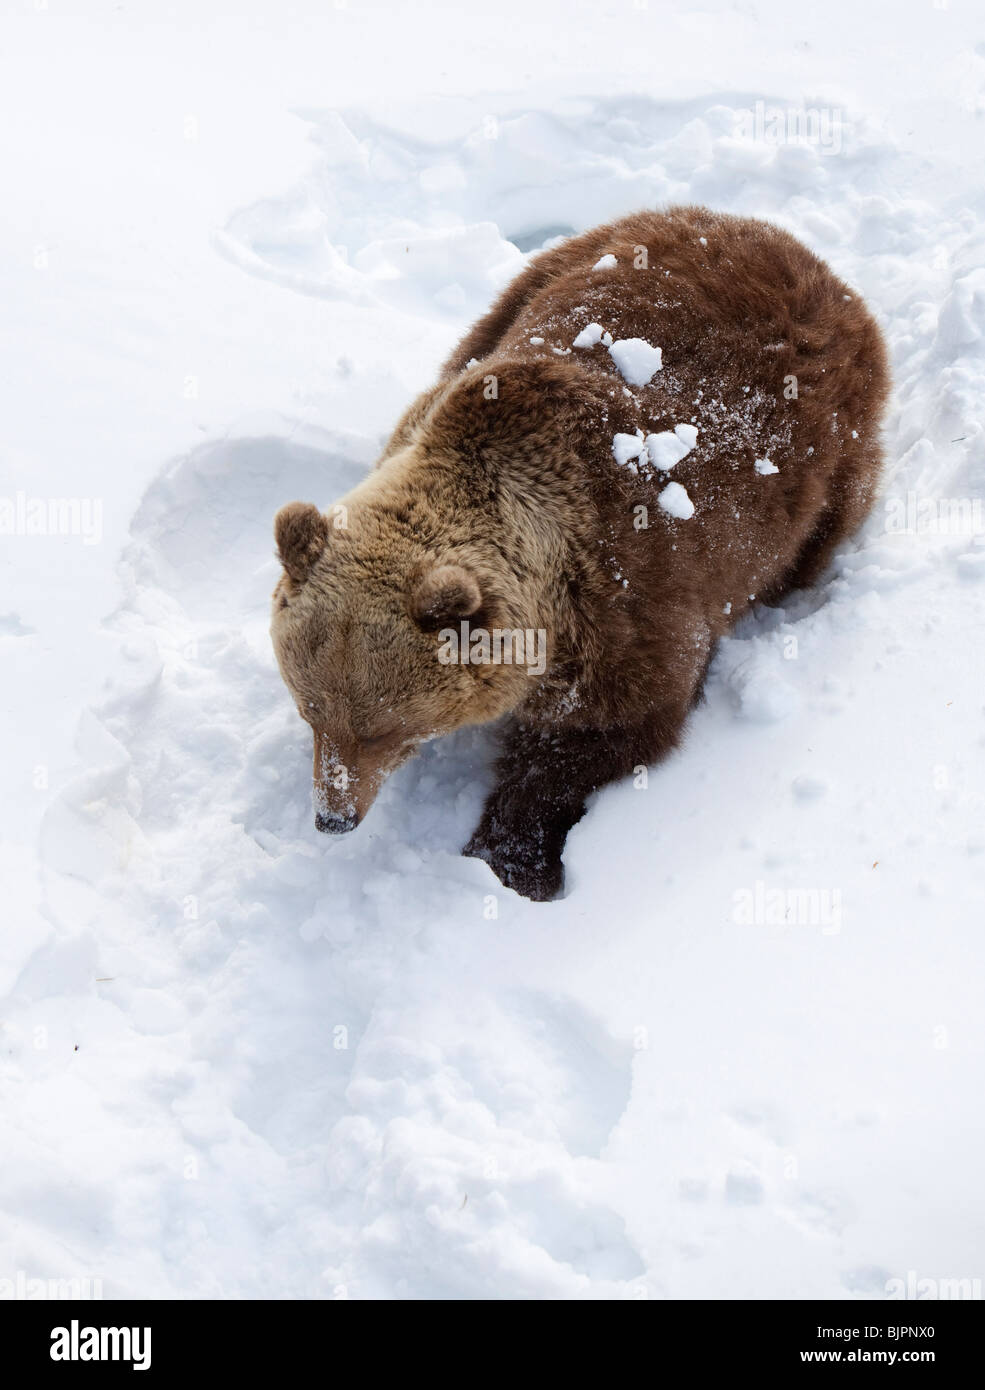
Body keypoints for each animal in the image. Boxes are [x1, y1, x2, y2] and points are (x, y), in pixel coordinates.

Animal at [271, 205, 890, 901]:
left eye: (382, 728)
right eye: (310, 712)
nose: (333, 817)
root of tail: (790, 245)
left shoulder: (628, 601)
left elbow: (601, 734)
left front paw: (509, 857)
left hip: (838, 448)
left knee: (824, 530)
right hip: (536, 280)